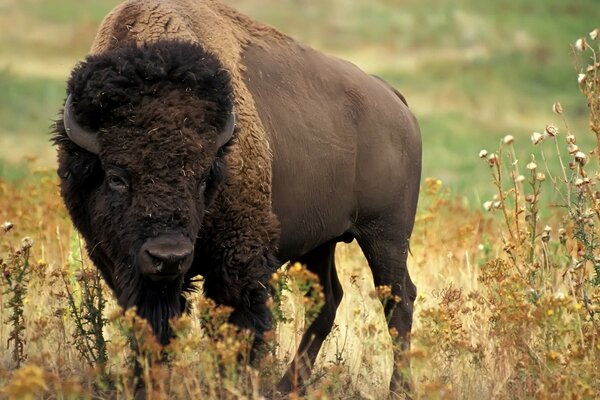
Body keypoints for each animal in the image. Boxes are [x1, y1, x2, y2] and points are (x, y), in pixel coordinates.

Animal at [55, 0, 422, 394]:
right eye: (116, 177)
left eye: (204, 178)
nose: (168, 257)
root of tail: (394, 100)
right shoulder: (121, 265)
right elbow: (151, 328)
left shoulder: (238, 260)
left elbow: (237, 326)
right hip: (320, 242)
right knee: (328, 299)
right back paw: (286, 387)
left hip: (385, 234)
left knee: (398, 299)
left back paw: (398, 388)